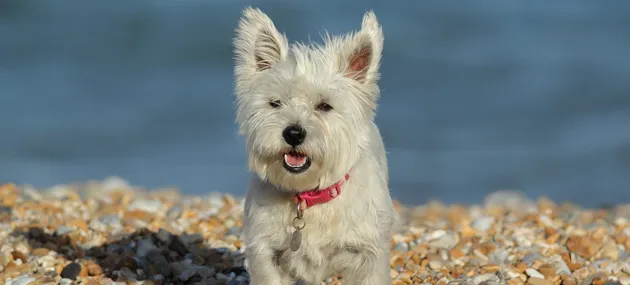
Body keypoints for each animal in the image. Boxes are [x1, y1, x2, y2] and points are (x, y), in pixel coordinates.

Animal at [235, 7, 398, 284]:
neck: (308, 197)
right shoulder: (265, 252)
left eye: (324, 106)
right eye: (275, 103)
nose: (293, 133)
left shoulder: (368, 254)